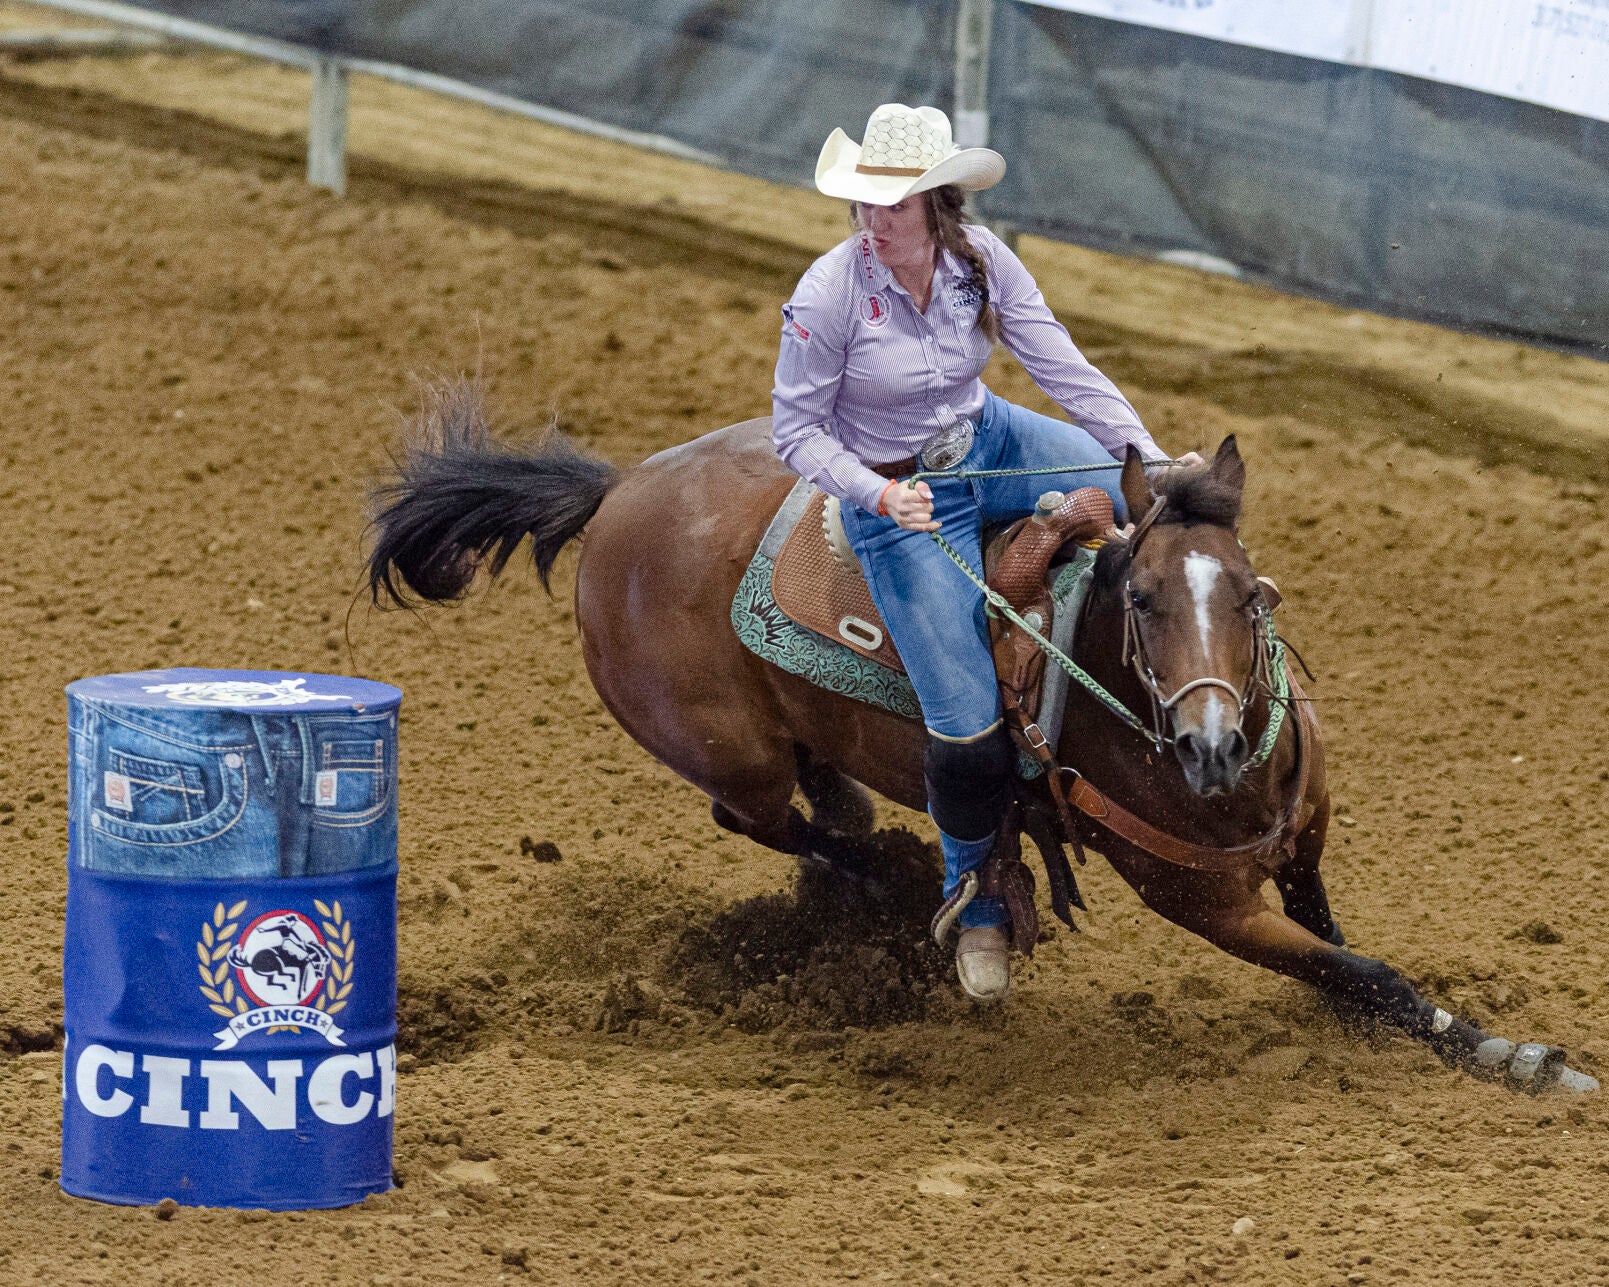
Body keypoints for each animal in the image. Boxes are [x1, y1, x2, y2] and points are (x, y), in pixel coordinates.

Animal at [368, 382, 1596, 1093]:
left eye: (1250, 596)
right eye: (1139, 597)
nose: (1205, 743)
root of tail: (620, 492)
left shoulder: (1299, 846)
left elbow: (1339, 950)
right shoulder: (1200, 902)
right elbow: (1366, 970)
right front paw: (1517, 1058)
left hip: (805, 742)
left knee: (832, 806)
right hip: (730, 755)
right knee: (775, 820)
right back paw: (933, 891)